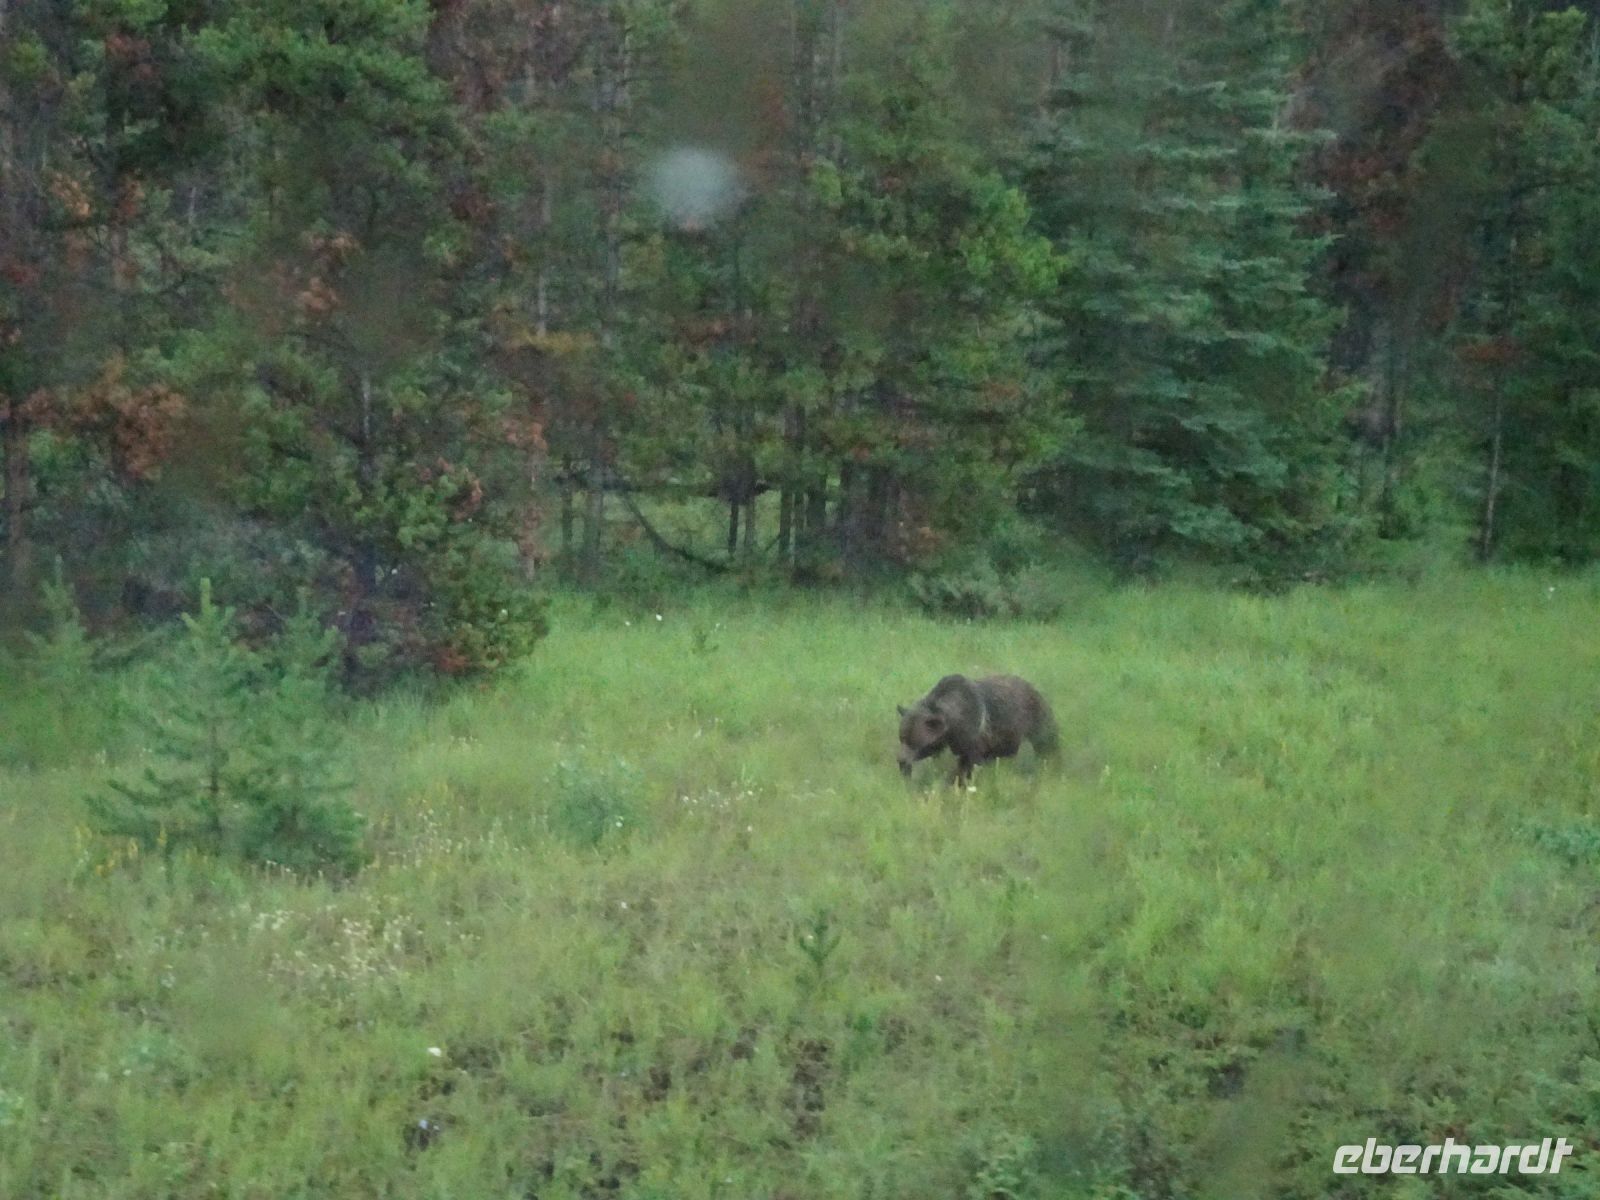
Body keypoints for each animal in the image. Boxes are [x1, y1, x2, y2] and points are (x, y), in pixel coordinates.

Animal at [896, 673, 1058, 786]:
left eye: (914, 741)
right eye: (902, 737)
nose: (901, 761)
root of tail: (1032, 687)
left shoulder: (974, 738)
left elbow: (968, 765)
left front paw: (955, 783)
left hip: (1035, 717)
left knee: (1047, 744)